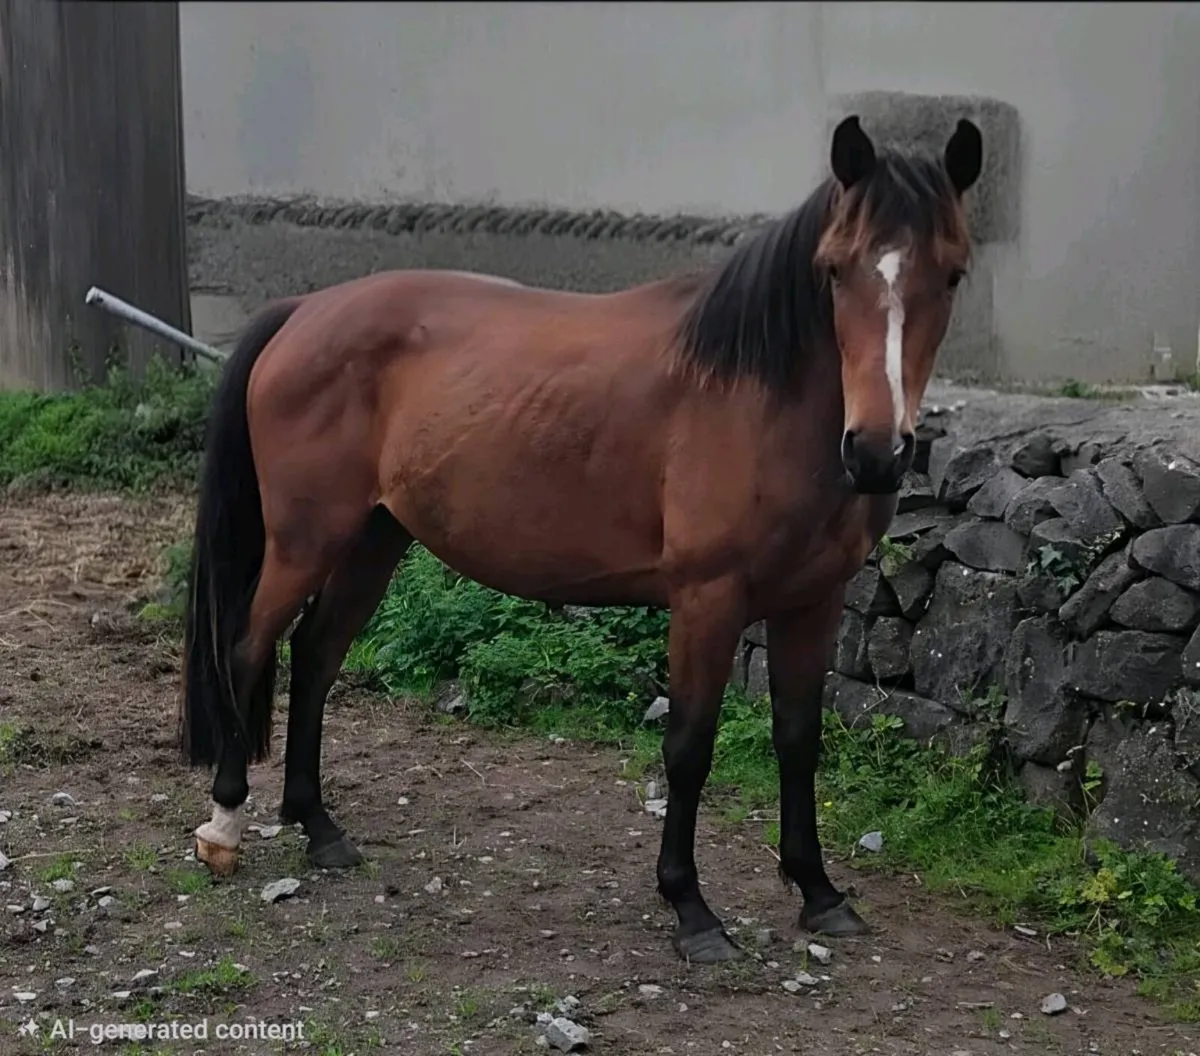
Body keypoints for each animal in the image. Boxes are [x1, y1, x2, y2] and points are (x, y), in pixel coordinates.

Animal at [181, 113, 982, 964]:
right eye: (833, 270)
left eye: (953, 274)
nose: (877, 452)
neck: (755, 394)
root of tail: (304, 310)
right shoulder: (708, 601)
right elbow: (688, 749)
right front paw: (691, 908)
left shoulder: (815, 602)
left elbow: (799, 740)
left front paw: (820, 892)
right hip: (305, 541)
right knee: (248, 649)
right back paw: (224, 824)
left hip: (375, 538)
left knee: (315, 656)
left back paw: (319, 826)